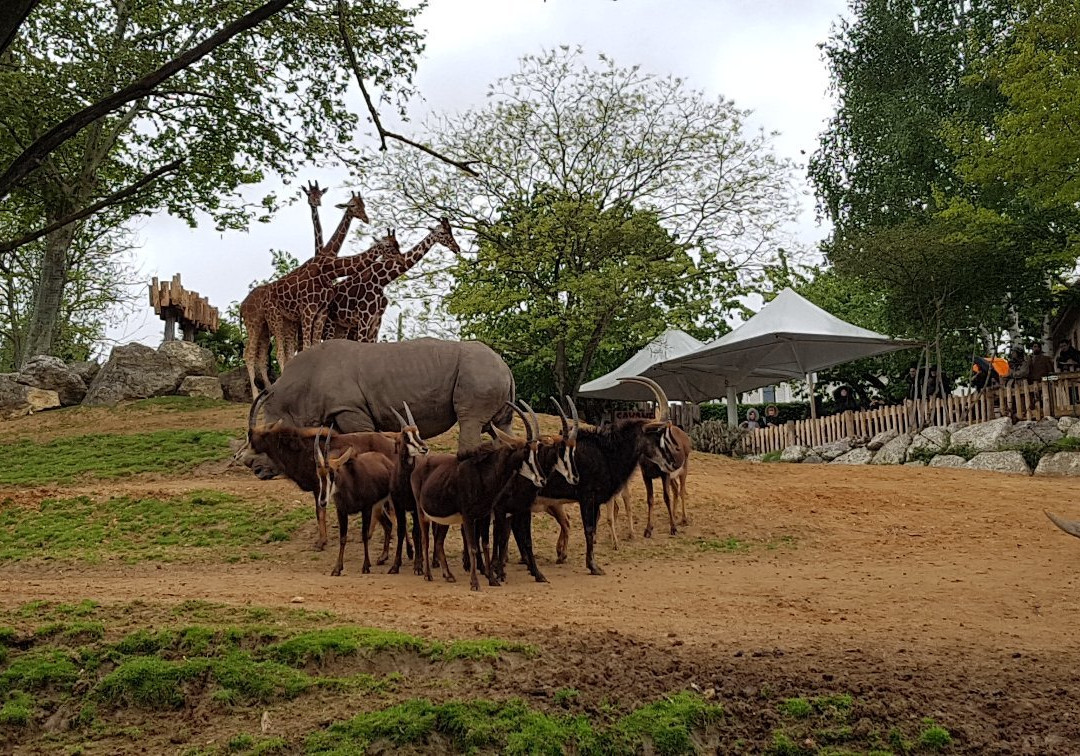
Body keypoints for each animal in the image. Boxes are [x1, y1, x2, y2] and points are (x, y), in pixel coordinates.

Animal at [319, 218, 455, 343]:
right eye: (443, 233)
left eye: (451, 231)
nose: (456, 247)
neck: (381, 281)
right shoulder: (364, 318)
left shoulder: (376, 321)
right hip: (329, 325)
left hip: (342, 327)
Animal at [412, 401, 548, 591]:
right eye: (525, 451)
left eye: (536, 451)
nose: (542, 480)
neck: (483, 474)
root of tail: (419, 466)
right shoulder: (469, 517)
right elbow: (473, 547)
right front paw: (475, 583)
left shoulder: (483, 516)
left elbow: (486, 545)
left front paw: (493, 579)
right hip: (421, 512)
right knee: (425, 540)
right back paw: (427, 574)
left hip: (443, 519)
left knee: (438, 543)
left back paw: (448, 575)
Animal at [535, 375, 678, 574]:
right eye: (657, 434)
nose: (673, 463)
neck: (605, 453)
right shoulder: (587, 498)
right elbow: (589, 529)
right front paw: (593, 566)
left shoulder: (596, 501)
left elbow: (593, 529)